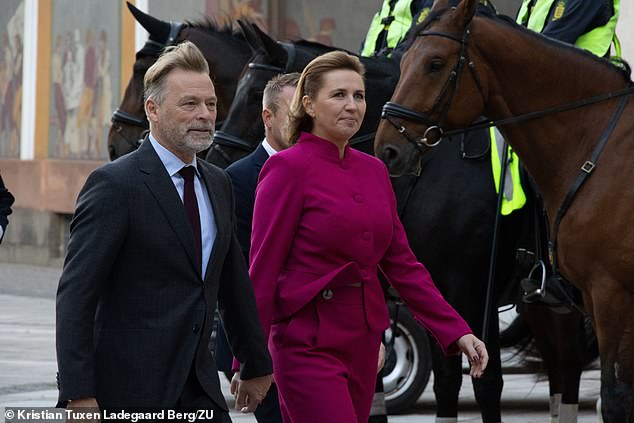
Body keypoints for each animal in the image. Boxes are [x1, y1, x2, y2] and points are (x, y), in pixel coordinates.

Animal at [376, 0, 632, 420]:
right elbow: (447, 381)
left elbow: (486, 382)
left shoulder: (608, 292)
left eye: (435, 63)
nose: (388, 150)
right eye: (404, 61)